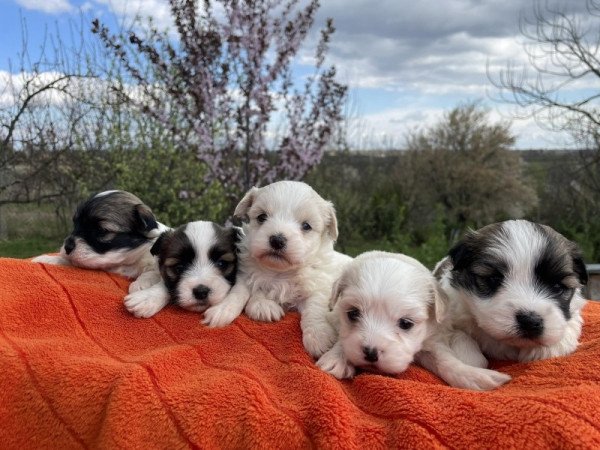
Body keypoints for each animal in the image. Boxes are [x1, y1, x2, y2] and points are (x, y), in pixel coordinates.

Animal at [32, 191, 169, 288]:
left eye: (102, 230)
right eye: (75, 224)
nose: (67, 247)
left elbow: (153, 271)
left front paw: (141, 285)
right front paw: (48, 258)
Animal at [414, 220, 588, 388]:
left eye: (557, 287)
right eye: (493, 279)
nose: (530, 321)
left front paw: (545, 349)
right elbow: (459, 336)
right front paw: (470, 357)